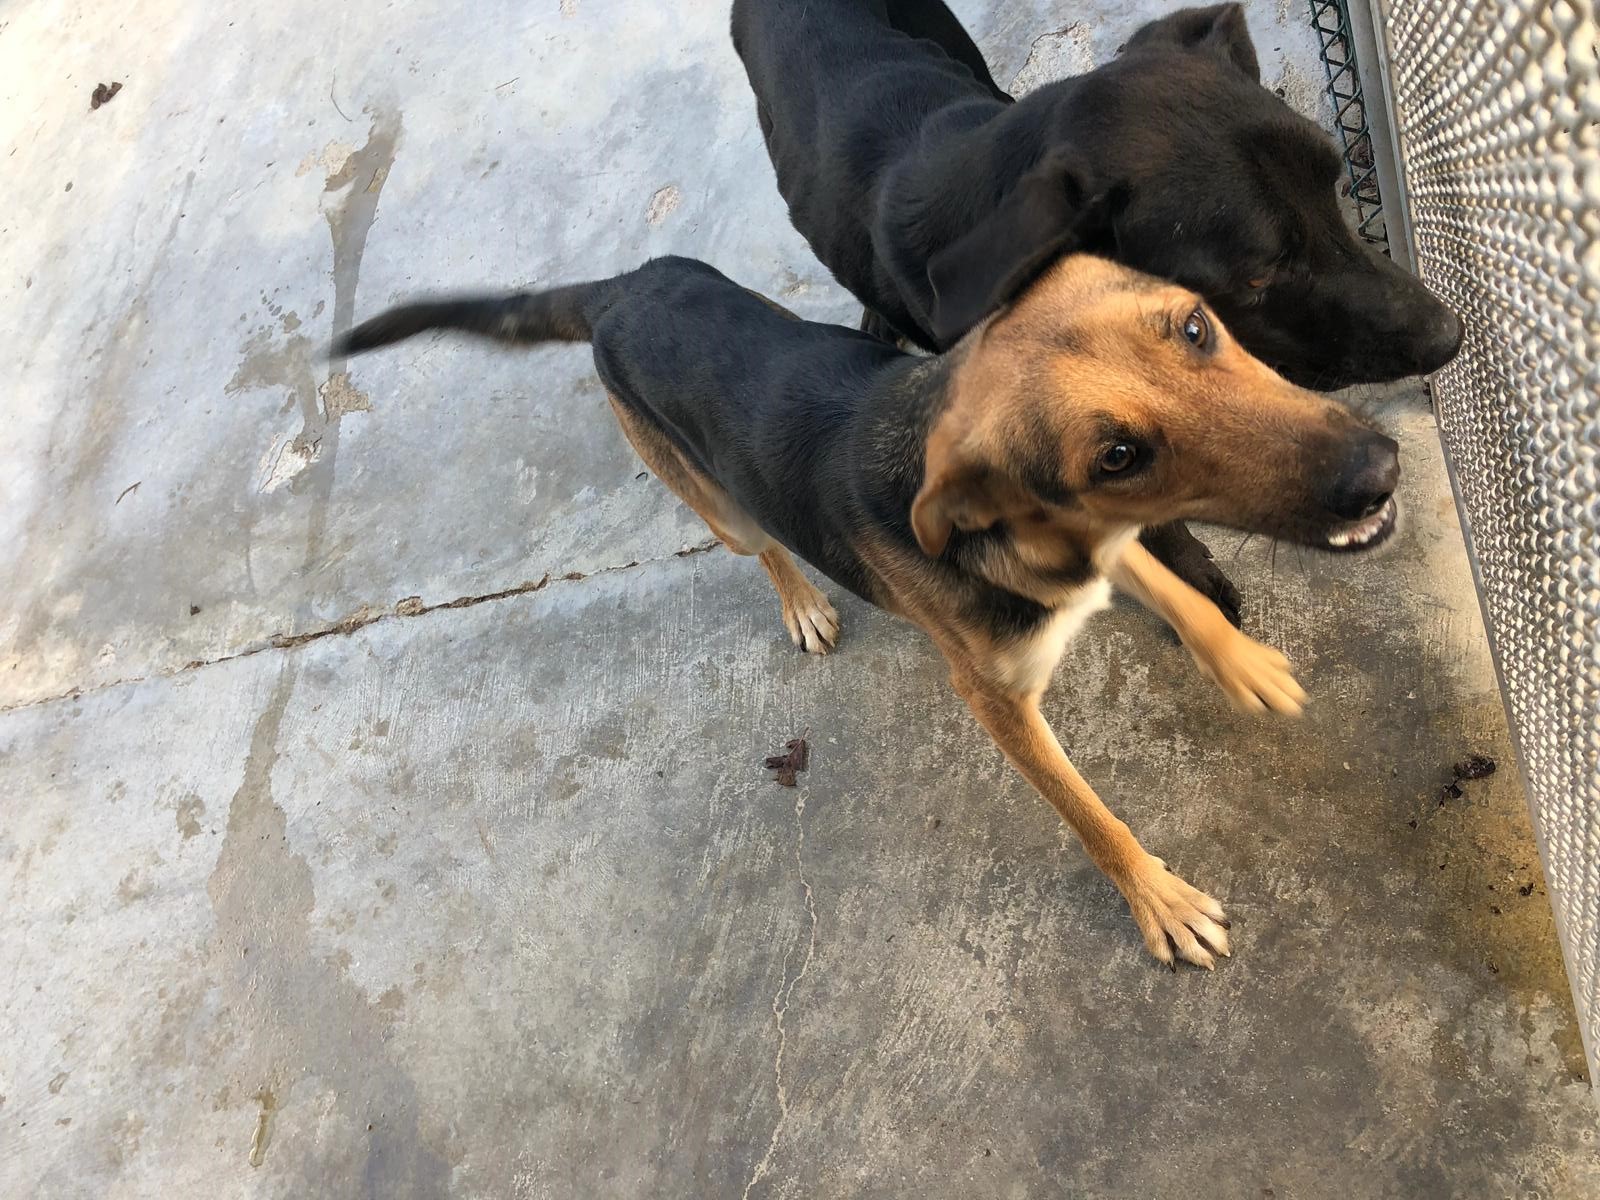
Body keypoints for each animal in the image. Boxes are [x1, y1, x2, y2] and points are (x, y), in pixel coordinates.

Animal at [333, 253, 1401, 967]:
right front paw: (1158, 901)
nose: (1380, 471)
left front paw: (1241, 663)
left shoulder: (1105, 549)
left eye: (1195, 328)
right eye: (1118, 455)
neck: (1019, 533)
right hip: (721, 507)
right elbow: (1092, 817)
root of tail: (619, 284)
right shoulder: (998, 704)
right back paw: (803, 602)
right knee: (764, 544)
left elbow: (1182, 597)